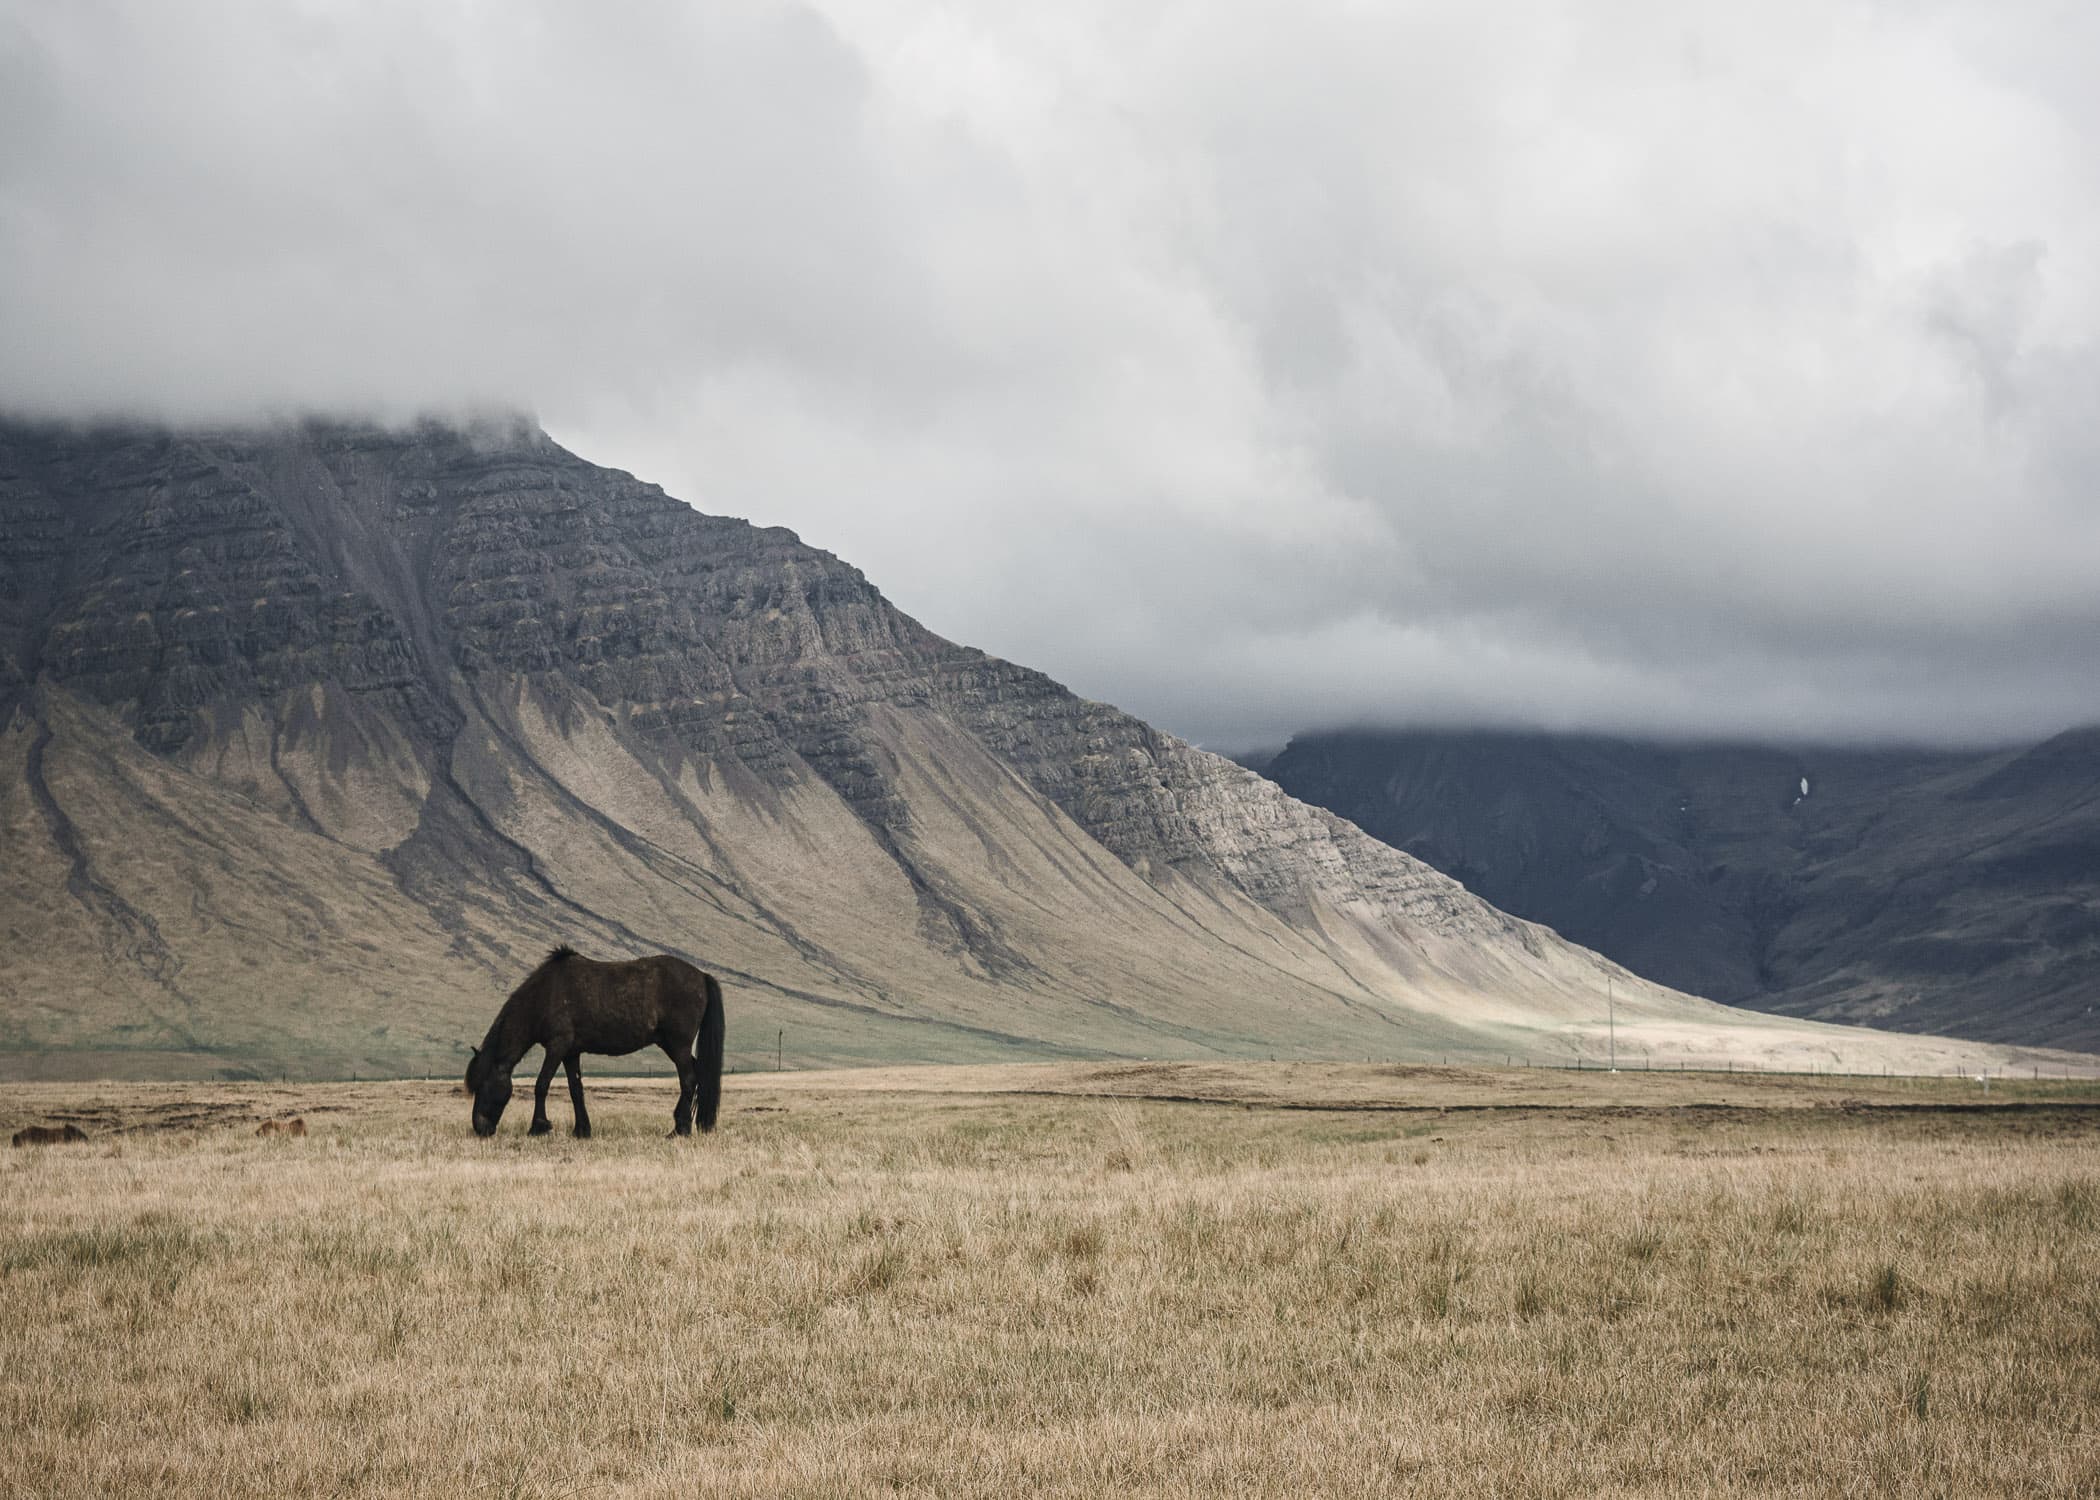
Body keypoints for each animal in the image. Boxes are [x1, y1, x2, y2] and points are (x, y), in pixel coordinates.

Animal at [465, 946, 725, 1139]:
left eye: (483, 1085)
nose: (480, 1128)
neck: (544, 995)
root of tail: (701, 976)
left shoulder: (557, 1047)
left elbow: (541, 1085)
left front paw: (538, 1127)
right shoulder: (570, 1052)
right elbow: (575, 1089)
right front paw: (582, 1130)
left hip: (678, 1045)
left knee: (688, 1079)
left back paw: (679, 1130)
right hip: (673, 1045)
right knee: (697, 1074)